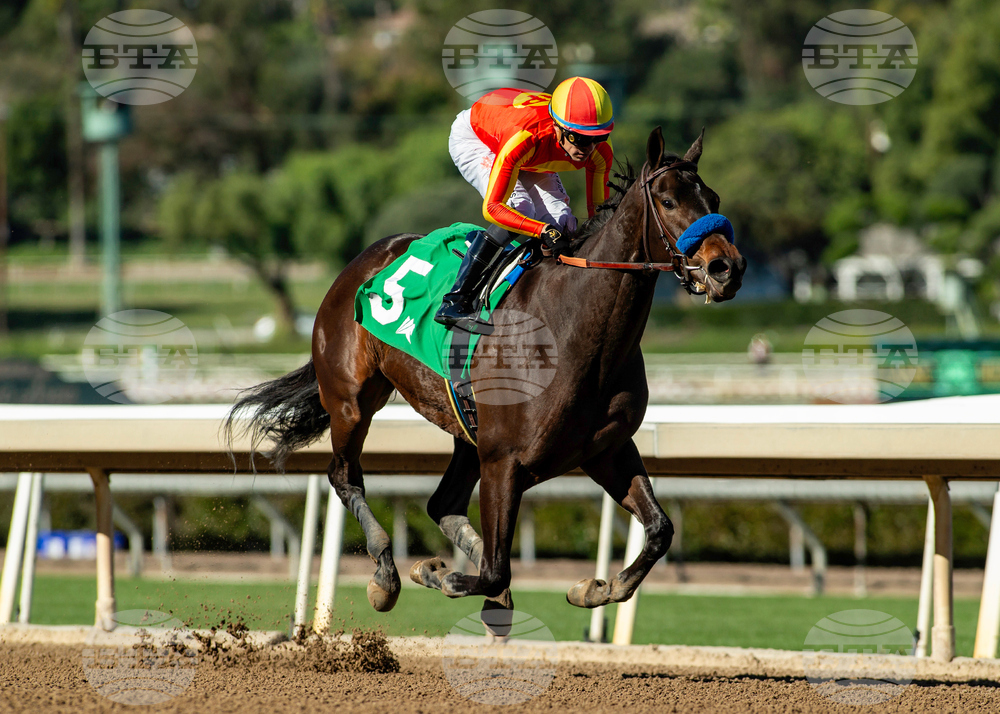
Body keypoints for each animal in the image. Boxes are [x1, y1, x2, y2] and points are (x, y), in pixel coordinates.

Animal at [226, 127, 746, 624]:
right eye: (669, 201)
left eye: (715, 199)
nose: (728, 267)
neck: (577, 333)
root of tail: (363, 259)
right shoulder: (504, 461)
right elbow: (496, 569)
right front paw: (440, 574)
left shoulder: (606, 449)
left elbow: (660, 529)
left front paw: (596, 587)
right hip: (352, 400)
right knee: (345, 475)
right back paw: (387, 575)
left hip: (466, 429)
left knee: (442, 503)